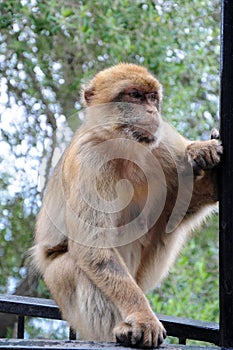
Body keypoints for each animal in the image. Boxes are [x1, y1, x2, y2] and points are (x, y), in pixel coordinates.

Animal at [31, 64, 223, 348]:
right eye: (134, 95)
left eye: (152, 98)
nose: (151, 112)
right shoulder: (90, 161)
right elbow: (93, 247)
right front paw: (143, 317)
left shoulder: (161, 142)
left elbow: (176, 206)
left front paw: (206, 165)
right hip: (60, 283)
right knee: (76, 267)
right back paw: (118, 331)